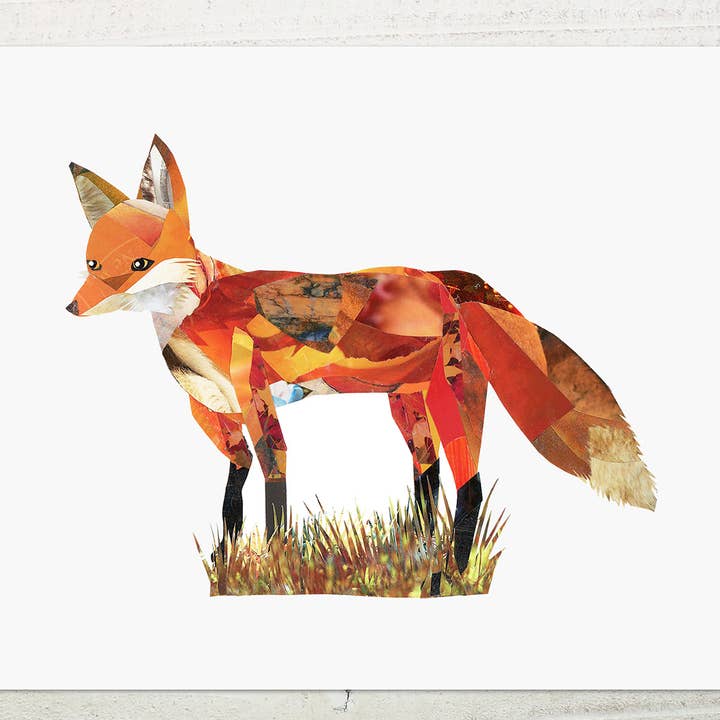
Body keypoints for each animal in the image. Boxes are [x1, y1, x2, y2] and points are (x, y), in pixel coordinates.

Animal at [67, 136, 655, 583]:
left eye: (139, 264)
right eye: (91, 264)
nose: (71, 308)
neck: (197, 310)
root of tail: (445, 278)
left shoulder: (256, 404)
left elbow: (273, 488)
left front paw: (274, 565)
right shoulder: (214, 415)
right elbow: (232, 498)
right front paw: (225, 559)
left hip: (450, 398)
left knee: (468, 487)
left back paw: (448, 575)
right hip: (406, 405)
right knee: (427, 477)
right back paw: (417, 553)